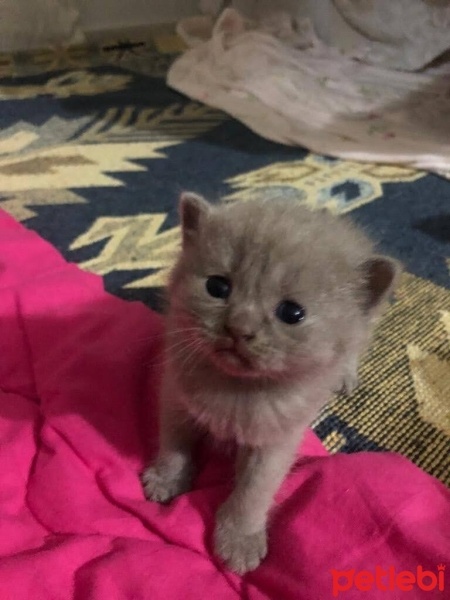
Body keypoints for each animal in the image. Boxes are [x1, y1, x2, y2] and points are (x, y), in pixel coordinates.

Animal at [142, 192, 400, 572]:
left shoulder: (276, 439)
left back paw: (345, 374)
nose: (239, 328)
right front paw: (166, 479)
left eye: (292, 313)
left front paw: (239, 540)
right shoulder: (176, 395)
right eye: (217, 286)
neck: (235, 388)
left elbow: (253, 492)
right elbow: (175, 445)